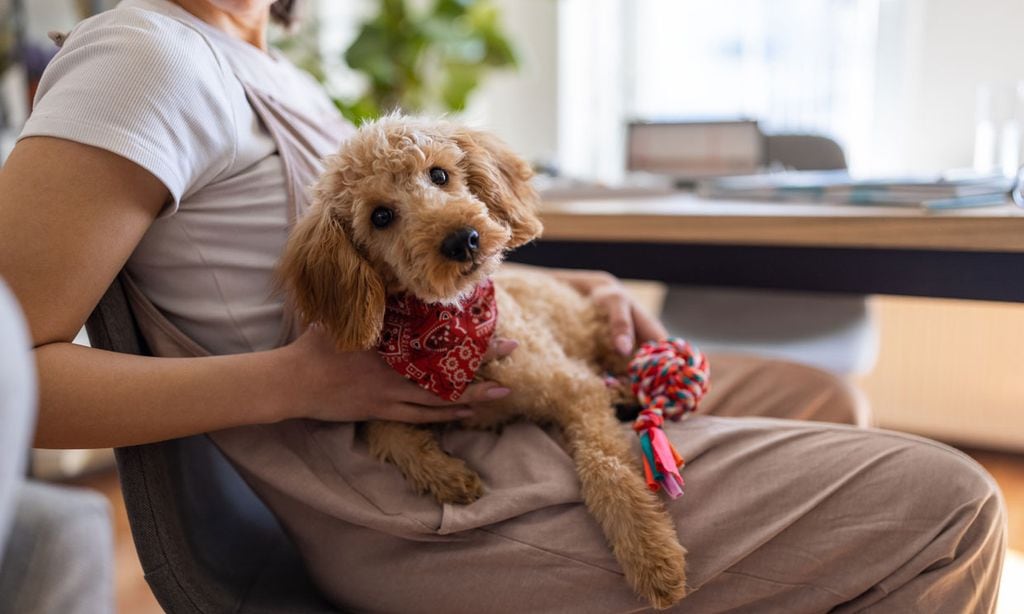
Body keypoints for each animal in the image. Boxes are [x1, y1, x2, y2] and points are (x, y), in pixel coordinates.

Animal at [282, 115, 688, 609]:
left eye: (439, 174)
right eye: (380, 216)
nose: (463, 239)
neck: (452, 335)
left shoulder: (574, 389)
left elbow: (606, 468)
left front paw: (651, 555)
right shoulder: (393, 398)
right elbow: (386, 432)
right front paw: (448, 477)